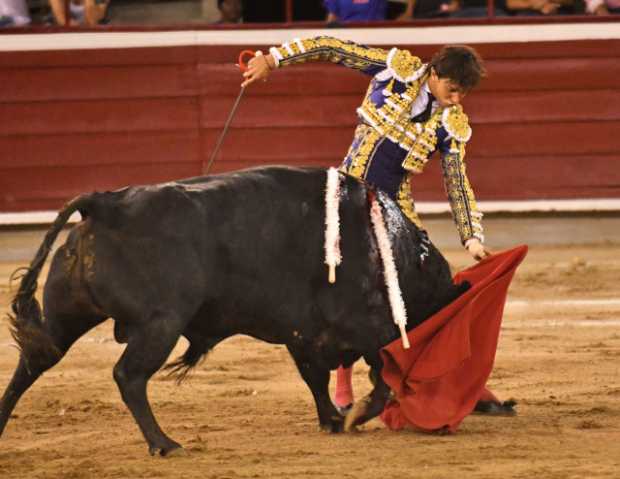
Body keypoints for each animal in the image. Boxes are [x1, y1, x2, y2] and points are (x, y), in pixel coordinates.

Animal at [0, 167, 468, 456]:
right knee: (128, 376)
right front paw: (355, 415)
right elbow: (383, 371)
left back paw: (2, 422)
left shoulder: (304, 333)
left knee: (32, 364)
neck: (392, 248)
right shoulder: (365, 326)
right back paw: (165, 443)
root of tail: (106, 204)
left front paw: (333, 419)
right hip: (160, 323)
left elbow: (316, 379)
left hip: (67, 315)